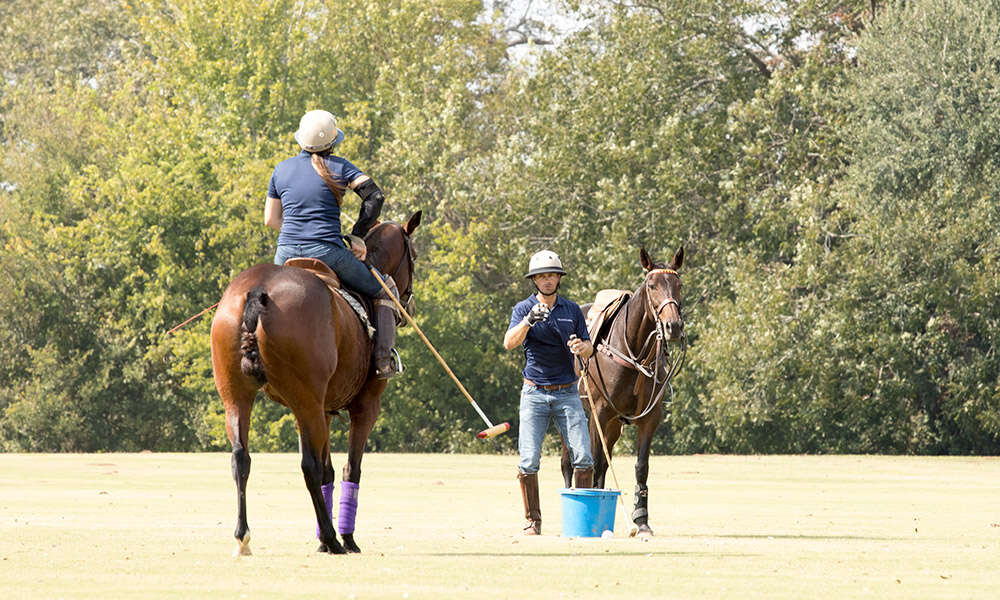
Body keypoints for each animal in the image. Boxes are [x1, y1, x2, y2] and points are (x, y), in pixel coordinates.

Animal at [209, 211, 420, 552]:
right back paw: (334, 539)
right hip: (306, 399)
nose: (408, 305)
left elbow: (329, 471)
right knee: (309, 466)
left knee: (240, 457)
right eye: (413, 254)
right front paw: (346, 538)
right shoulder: (365, 405)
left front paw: (323, 538)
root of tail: (257, 290)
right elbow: (349, 468)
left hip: (239, 393)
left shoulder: (323, 408)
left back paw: (243, 537)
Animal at [560, 246, 684, 536]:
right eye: (652, 286)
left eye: (679, 285)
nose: (673, 327)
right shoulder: (600, 412)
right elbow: (594, 460)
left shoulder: (650, 417)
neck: (635, 352)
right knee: (569, 460)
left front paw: (641, 520)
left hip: (614, 425)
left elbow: (641, 466)